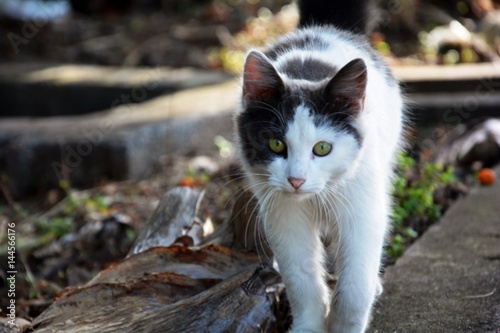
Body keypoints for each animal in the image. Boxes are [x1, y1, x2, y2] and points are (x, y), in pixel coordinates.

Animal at [235, 0, 406, 332]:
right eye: (276, 144)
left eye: (323, 148)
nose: (296, 180)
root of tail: (324, 28)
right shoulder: (283, 216)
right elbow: (301, 280)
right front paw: (309, 326)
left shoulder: (362, 207)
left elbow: (355, 285)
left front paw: (344, 325)